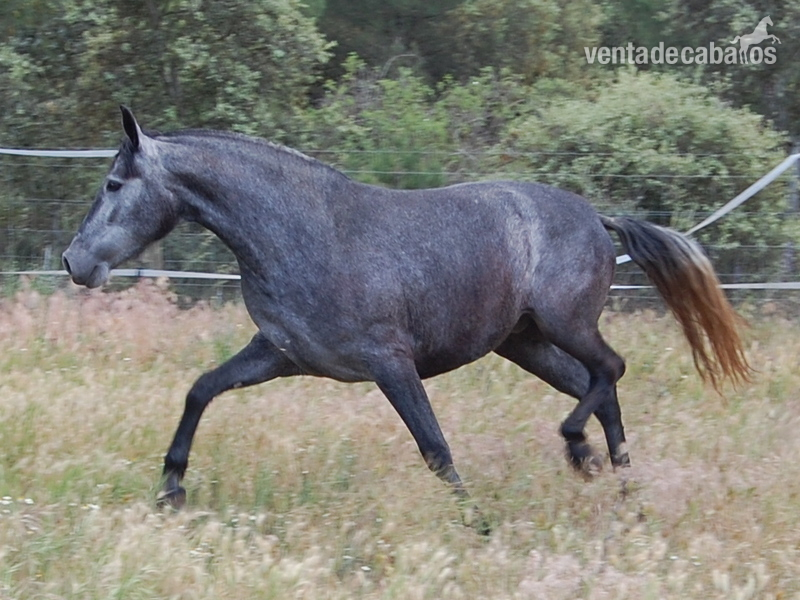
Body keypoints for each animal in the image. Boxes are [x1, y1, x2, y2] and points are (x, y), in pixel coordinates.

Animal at [62, 107, 750, 532]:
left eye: (114, 183)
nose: (74, 261)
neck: (304, 231)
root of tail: (595, 217)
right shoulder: (280, 354)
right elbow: (200, 390)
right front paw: (171, 491)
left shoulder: (390, 364)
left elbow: (435, 448)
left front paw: (479, 526)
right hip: (526, 343)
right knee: (599, 389)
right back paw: (626, 501)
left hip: (566, 325)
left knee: (611, 370)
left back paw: (580, 453)